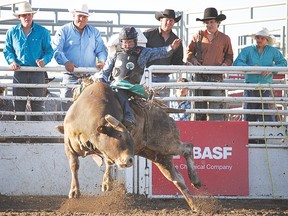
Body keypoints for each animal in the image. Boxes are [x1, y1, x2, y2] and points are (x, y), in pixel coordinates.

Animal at [56, 81, 200, 211]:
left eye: (130, 137)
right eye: (119, 136)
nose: (130, 160)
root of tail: (164, 113)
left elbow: (108, 161)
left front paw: (107, 183)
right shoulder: (68, 145)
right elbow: (74, 165)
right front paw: (74, 191)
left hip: (165, 143)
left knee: (188, 147)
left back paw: (196, 180)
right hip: (158, 156)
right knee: (177, 178)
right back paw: (194, 206)